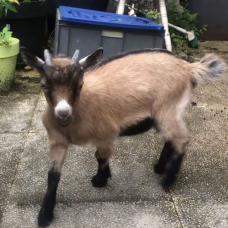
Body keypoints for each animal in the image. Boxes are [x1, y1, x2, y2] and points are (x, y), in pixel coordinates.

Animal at [20, 46, 226, 226]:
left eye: (79, 85)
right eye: (44, 85)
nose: (63, 114)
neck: (79, 111)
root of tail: (188, 68)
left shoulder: (106, 134)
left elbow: (100, 157)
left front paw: (100, 180)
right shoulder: (58, 142)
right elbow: (53, 175)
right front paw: (44, 215)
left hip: (168, 109)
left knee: (182, 139)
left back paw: (168, 179)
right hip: (165, 115)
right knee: (171, 138)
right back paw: (160, 167)